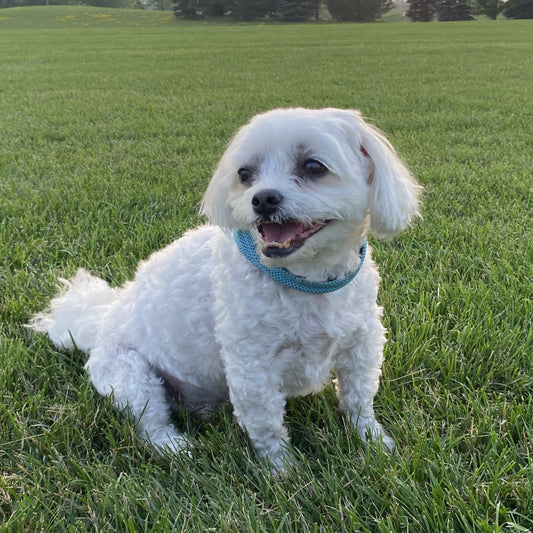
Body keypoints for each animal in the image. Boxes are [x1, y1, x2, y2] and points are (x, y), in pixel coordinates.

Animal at [30, 108, 420, 470]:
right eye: (244, 174)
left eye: (313, 166)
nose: (262, 198)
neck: (305, 280)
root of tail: (100, 322)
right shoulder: (251, 364)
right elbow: (266, 424)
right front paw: (283, 471)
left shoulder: (363, 341)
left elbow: (358, 398)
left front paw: (373, 442)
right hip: (131, 376)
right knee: (150, 422)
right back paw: (175, 446)